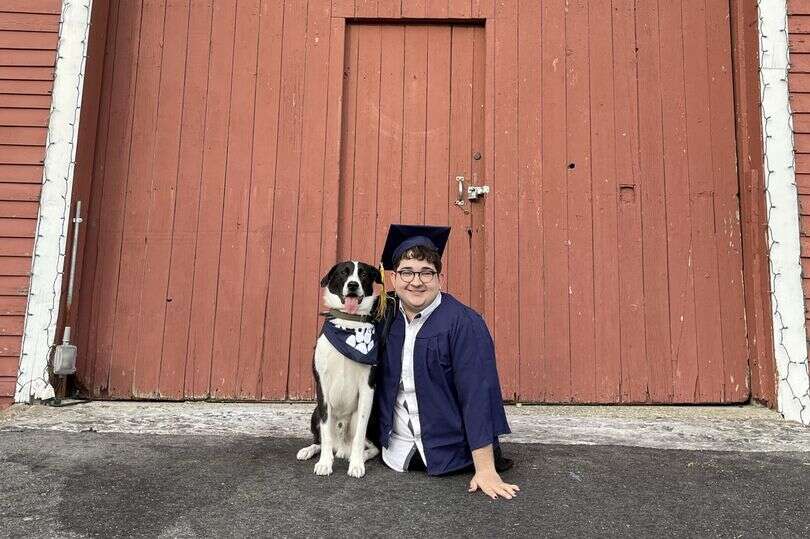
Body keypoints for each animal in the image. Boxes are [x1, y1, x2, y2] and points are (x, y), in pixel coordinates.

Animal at [296, 260, 386, 476]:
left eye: (363, 274)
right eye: (343, 274)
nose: (353, 285)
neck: (348, 322)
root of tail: (341, 446)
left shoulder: (367, 388)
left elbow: (360, 434)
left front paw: (357, 464)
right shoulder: (322, 384)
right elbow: (326, 431)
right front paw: (324, 463)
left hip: (372, 417)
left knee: (372, 447)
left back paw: (356, 455)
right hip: (315, 413)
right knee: (320, 439)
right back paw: (310, 450)